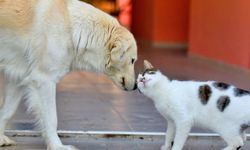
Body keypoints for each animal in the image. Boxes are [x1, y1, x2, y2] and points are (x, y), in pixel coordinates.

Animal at [0, 0, 137, 149]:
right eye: (132, 60)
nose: (136, 86)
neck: (73, 28)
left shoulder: (17, 78)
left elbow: (7, 111)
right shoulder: (45, 80)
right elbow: (51, 119)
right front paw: (57, 146)